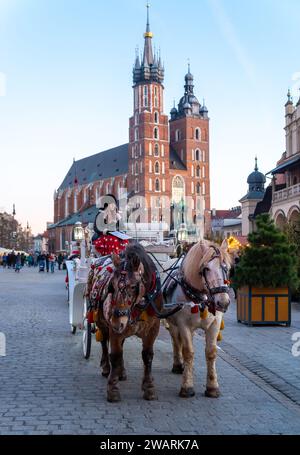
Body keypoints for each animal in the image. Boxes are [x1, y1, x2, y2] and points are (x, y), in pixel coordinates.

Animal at [90, 244, 163, 404]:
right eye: (111, 286)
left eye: (133, 286)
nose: (117, 321)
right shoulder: (114, 329)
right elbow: (115, 356)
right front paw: (113, 389)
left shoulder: (153, 328)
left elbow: (147, 356)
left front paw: (149, 388)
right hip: (102, 322)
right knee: (104, 342)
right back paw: (107, 368)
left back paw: (121, 372)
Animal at [161, 240, 233, 400]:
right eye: (206, 268)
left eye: (227, 268)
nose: (223, 302)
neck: (201, 300)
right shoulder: (183, 324)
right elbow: (188, 352)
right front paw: (187, 386)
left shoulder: (214, 324)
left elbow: (211, 352)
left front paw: (212, 387)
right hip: (172, 321)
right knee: (176, 340)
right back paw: (178, 364)